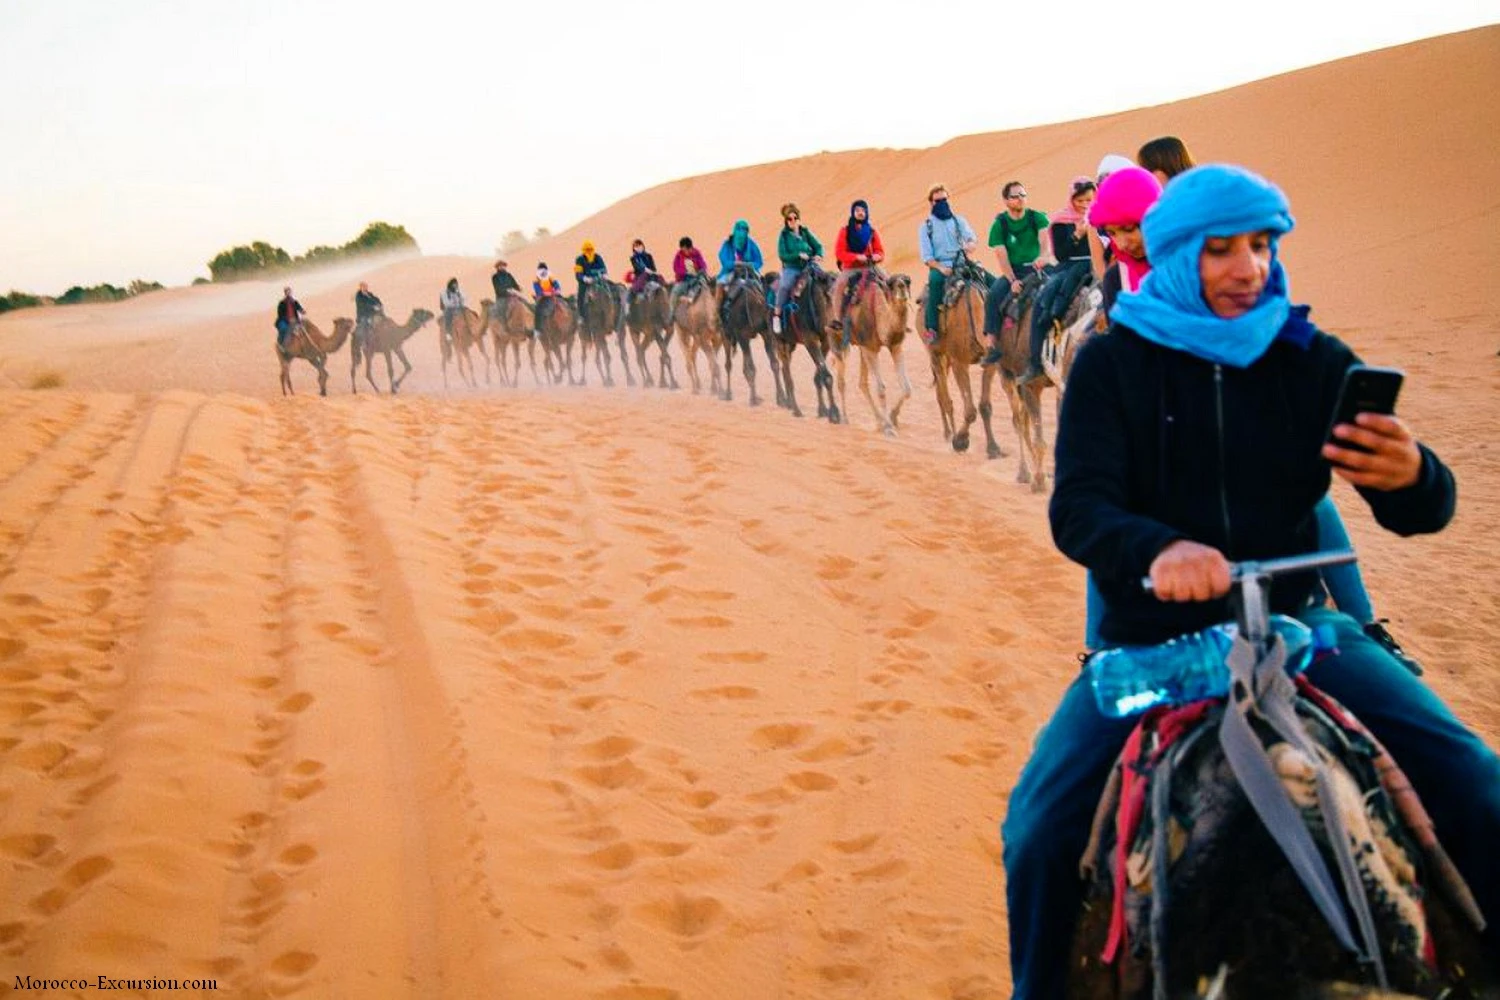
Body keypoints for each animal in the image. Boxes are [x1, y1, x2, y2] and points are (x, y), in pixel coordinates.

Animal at [762, 265, 846, 422]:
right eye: (827, 295)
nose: (837, 324)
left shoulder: (825, 341)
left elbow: (819, 376)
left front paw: (823, 410)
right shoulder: (810, 340)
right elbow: (827, 376)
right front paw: (834, 413)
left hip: (791, 344)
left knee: (784, 370)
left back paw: (790, 404)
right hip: (779, 341)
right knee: (787, 373)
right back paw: (796, 409)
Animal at [828, 269, 906, 437]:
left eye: (908, 280)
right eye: (892, 284)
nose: (902, 287)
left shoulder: (895, 346)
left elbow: (907, 387)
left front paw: (892, 417)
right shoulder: (870, 348)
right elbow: (881, 389)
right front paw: (889, 428)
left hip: (862, 348)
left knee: (862, 383)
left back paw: (879, 421)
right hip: (837, 338)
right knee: (841, 381)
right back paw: (845, 419)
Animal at [912, 257, 1008, 461]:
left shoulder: (989, 362)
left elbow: (985, 406)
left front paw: (993, 448)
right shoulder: (959, 361)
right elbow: (970, 411)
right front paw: (960, 441)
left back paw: (949, 433)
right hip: (934, 352)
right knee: (943, 396)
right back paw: (950, 435)